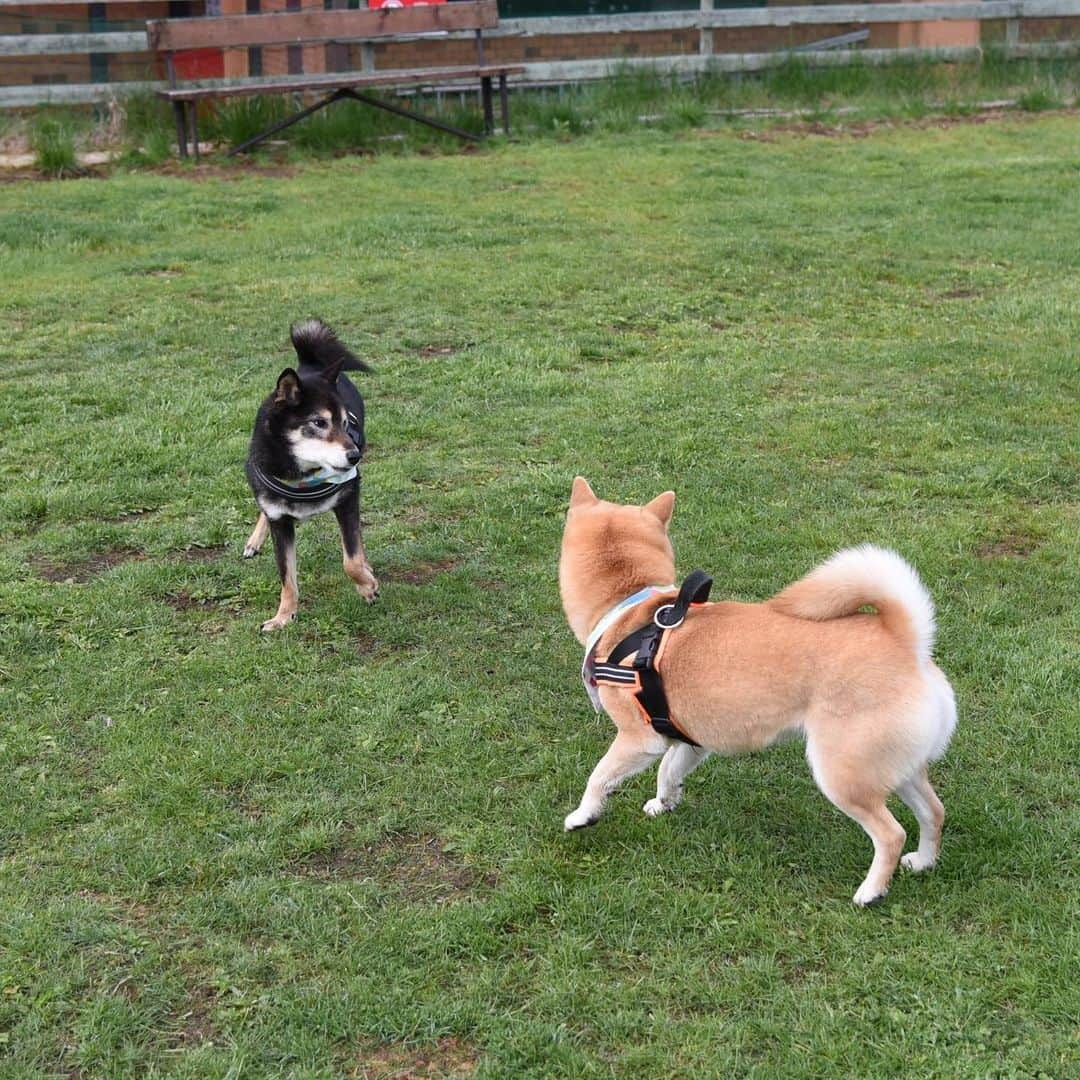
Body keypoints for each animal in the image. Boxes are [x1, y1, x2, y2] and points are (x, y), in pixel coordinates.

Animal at [245, 315, 380, 630]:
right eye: (319, 422)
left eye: (345, 423)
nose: (355, 455)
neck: (303, 478)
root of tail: (309, 366)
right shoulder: (280, 522)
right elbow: (287, 578)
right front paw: (283, 617)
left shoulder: (348, 498)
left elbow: (351, 559)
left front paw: (367, 585)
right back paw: (254, 541)